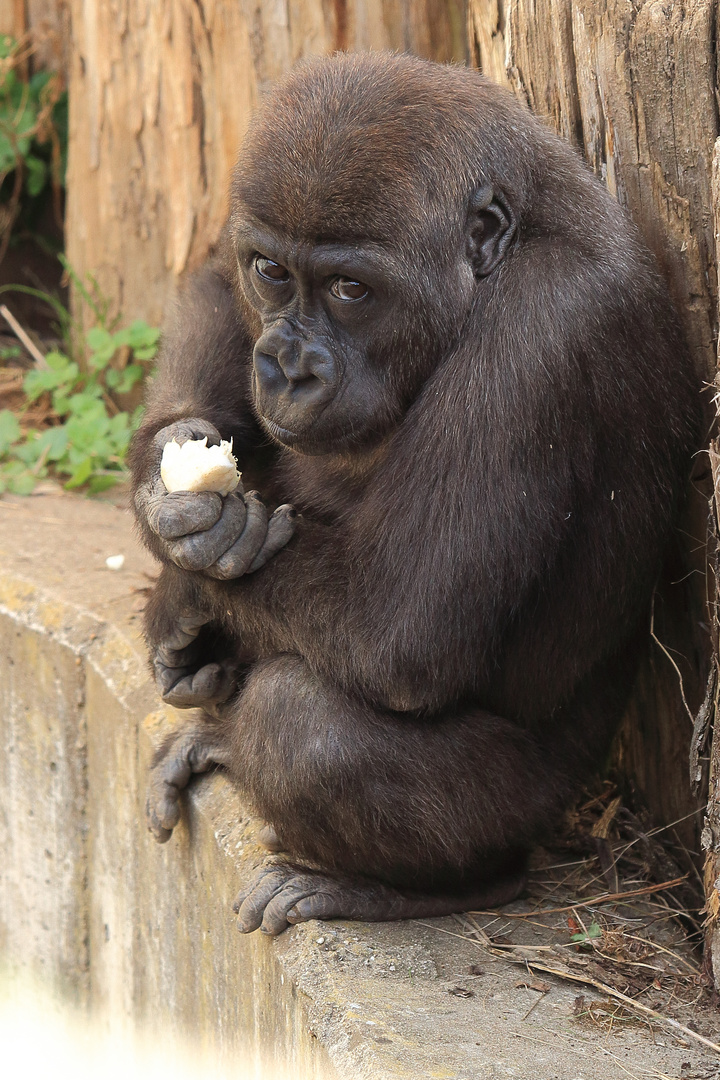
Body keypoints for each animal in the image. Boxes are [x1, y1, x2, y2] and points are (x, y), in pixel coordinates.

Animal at [127, 50, 699, 933]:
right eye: (273, 272)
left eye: (351, 289)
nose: (286, 367)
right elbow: (216, 282)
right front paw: (170, 490)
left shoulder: (541, 335)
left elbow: (401, 626)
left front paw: (182, 584)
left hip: (533, 805)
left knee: (305, 727)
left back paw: (427, 886)